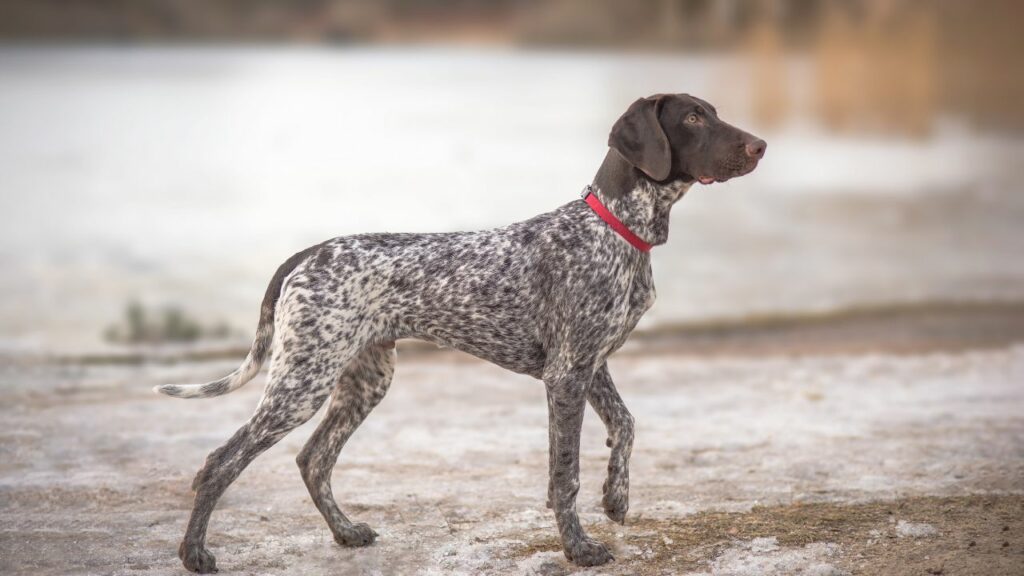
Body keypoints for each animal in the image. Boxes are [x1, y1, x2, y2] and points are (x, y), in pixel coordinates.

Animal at [155, 93, 765, 569]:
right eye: (693, 118)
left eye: (711, 112)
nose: (760, 145)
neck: (615, 227)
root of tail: (309, 253)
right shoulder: (567, 375)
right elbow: (564, 474)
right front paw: (578, 548)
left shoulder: (591, 365)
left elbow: (627, 425)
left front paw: (616, 499)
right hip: (302, 381)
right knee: (220, 463)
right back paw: (195, 555)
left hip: (364, 380)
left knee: (314, 460)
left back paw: (346, 532)